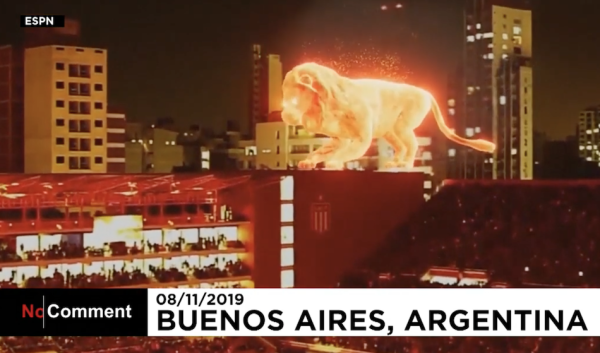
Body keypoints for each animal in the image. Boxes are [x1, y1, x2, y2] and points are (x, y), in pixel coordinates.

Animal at [278, 62, 494, 169]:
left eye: (293, 100)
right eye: (284, 99)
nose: (285, 116)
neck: (321, 104)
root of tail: (426, 92)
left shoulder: (362, 137)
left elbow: (347, 153)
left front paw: (333, 163)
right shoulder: (338, 139)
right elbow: (321, 151)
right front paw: (308, 162)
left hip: (402, 125)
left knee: (412, 145)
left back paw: (405, 164)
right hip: (389, 131)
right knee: (401, 146)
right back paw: (395, 163)